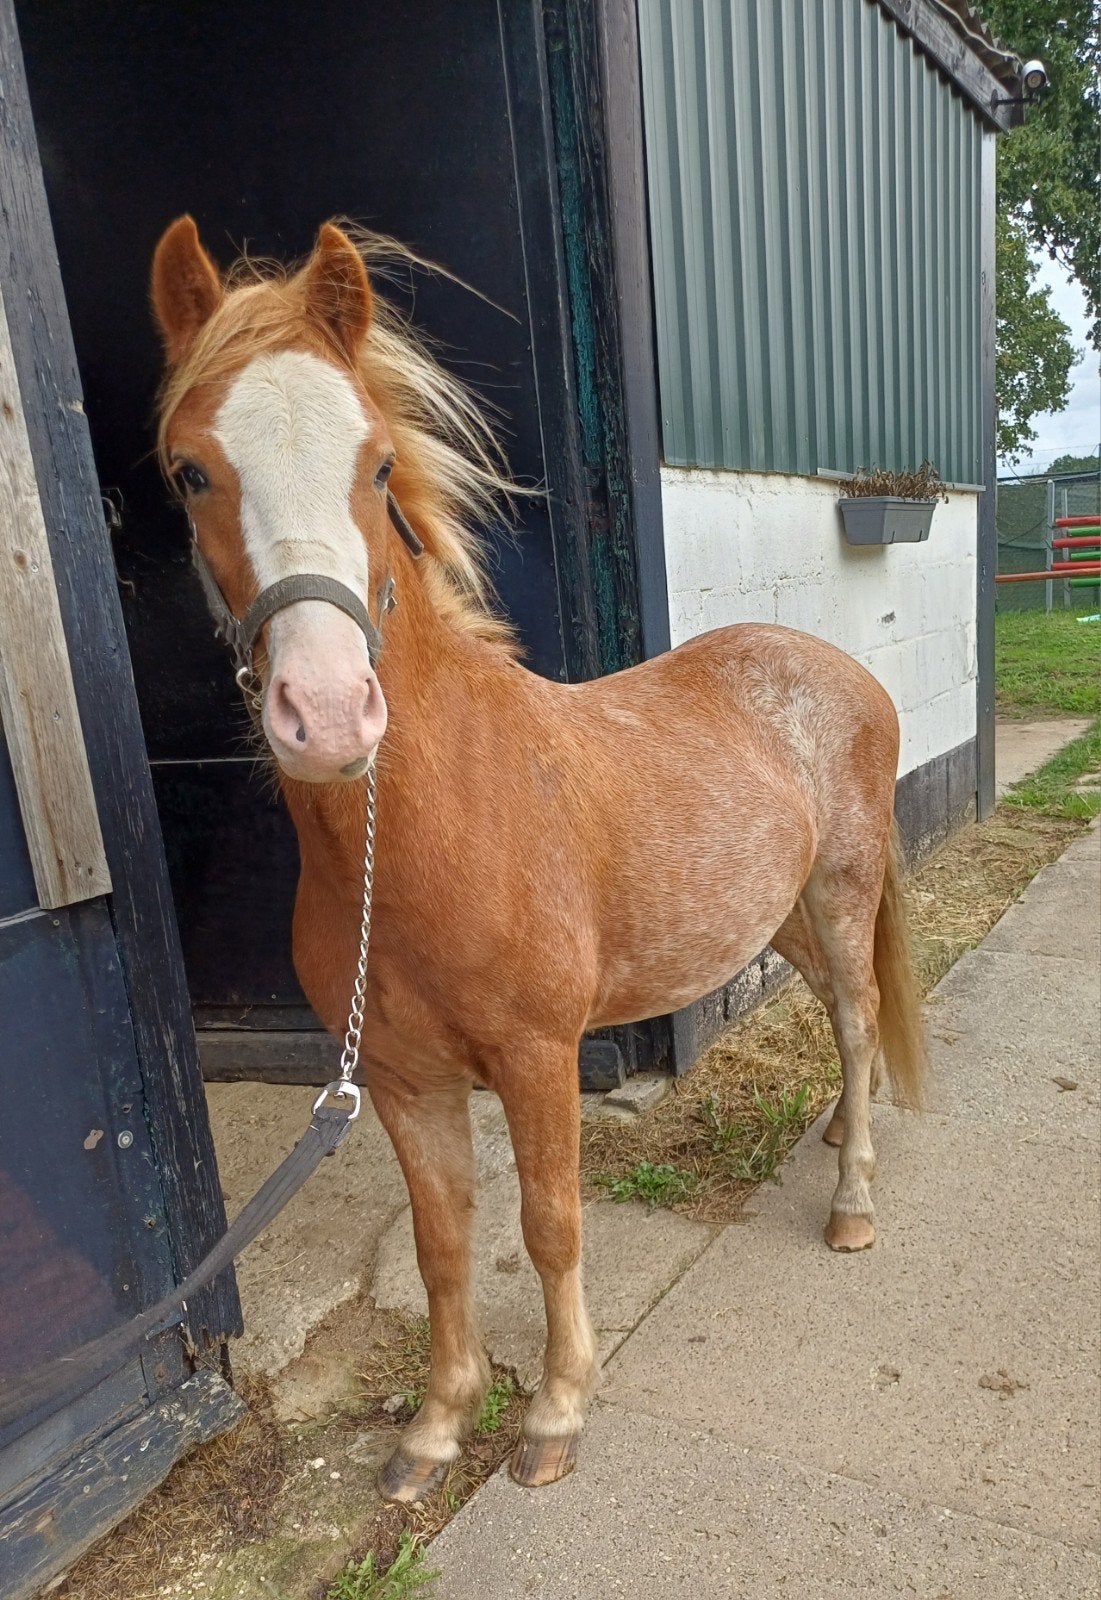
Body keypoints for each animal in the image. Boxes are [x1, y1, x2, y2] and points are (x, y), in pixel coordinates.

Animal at [150, 216, 927, 1501]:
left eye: (376, 465)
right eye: (189, 470)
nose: (328, 711)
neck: (430, 832)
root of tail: (839, 665)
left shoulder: (536, 1056)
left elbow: (551, 1223)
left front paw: (558, 1407)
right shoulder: (401, 1080)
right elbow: (443, 1242)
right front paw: (434, 1426)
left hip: (840, 887)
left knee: (863, 1020)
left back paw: (855, 1196)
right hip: (773, 911)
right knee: (834, 1012)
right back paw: (831, 1135)